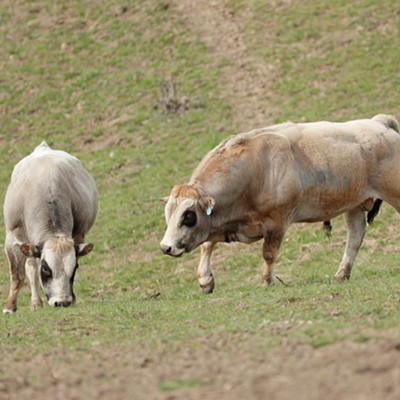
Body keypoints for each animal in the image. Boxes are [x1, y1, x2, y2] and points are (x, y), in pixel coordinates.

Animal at [3, 141, 97, 312]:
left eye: (75, 267)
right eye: (46, 269)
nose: (62, 302)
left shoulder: (79, 235)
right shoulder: (12, 238)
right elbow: (17, 274)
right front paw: (9, 307)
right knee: (31, 267)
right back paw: (35, 302)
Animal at [162, 114, 400, 292]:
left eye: (188, 216)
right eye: (168, 214)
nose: (166, 247)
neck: (255, 169)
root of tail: (379, 121)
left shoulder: (276, 222)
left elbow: (269, 253)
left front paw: (266, 281)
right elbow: (207, 244)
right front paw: (205, 280)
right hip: (354, 203)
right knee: (355, 236)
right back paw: (341, 274)